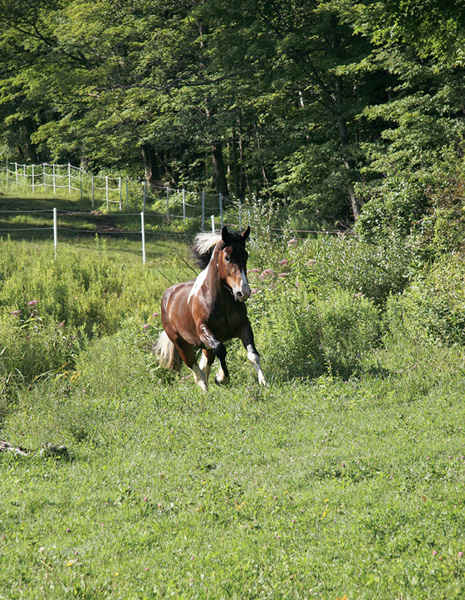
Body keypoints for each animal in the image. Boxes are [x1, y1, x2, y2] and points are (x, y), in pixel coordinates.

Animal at [155, 227, 264, 392]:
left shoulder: (243, 326)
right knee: (196, 370)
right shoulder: (204, 331)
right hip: (181, 344)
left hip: (204, 346)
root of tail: (167, 296)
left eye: (246, 255)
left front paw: (264, 382)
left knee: (204, 365)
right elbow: (221, 349)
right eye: (227, 257)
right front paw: (221, 378)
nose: (243, 292)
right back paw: (205, 391)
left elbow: (253, 355)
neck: (221, 300)